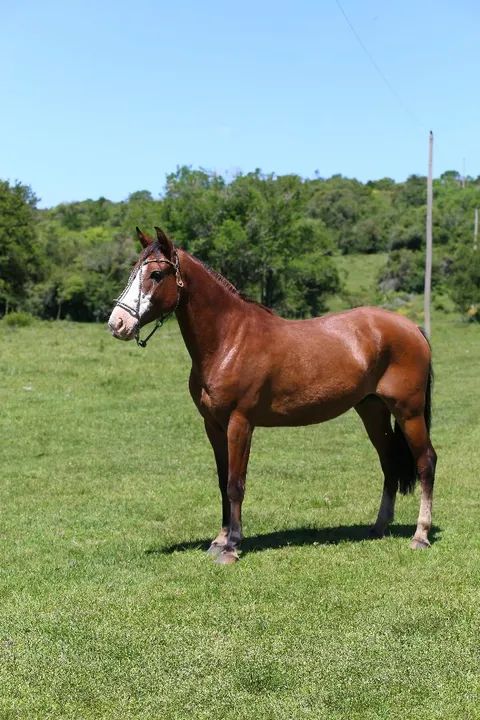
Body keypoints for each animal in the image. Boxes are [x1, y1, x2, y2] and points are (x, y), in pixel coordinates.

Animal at [108, 226, 437, 564]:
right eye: (133, 272)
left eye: (156, 274)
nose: (117, 323)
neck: (230, 339)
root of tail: (412, 327)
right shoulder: (213, 426)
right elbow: (222, 480)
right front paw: (219, 540)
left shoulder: (240, 423)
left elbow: (235, 483)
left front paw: (232, 546)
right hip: (372, 411)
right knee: (389, 462)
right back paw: (379, 526)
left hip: (408, 413)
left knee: (426, 462)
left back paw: (420, 535)